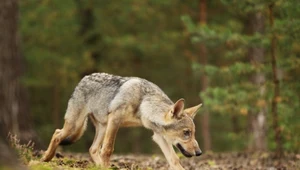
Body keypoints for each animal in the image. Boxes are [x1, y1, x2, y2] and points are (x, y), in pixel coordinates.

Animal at [41, 72, 202, 169]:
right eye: (186, 133)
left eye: (193, 133)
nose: (199, 152)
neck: (143, 103)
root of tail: (84, 78)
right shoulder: (115, 120)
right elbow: (108, 150)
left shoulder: (158, 136)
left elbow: (174, 160)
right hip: (75, 125)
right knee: (57, 134)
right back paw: (45, 158)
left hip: (101, 128)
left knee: (93, 149)